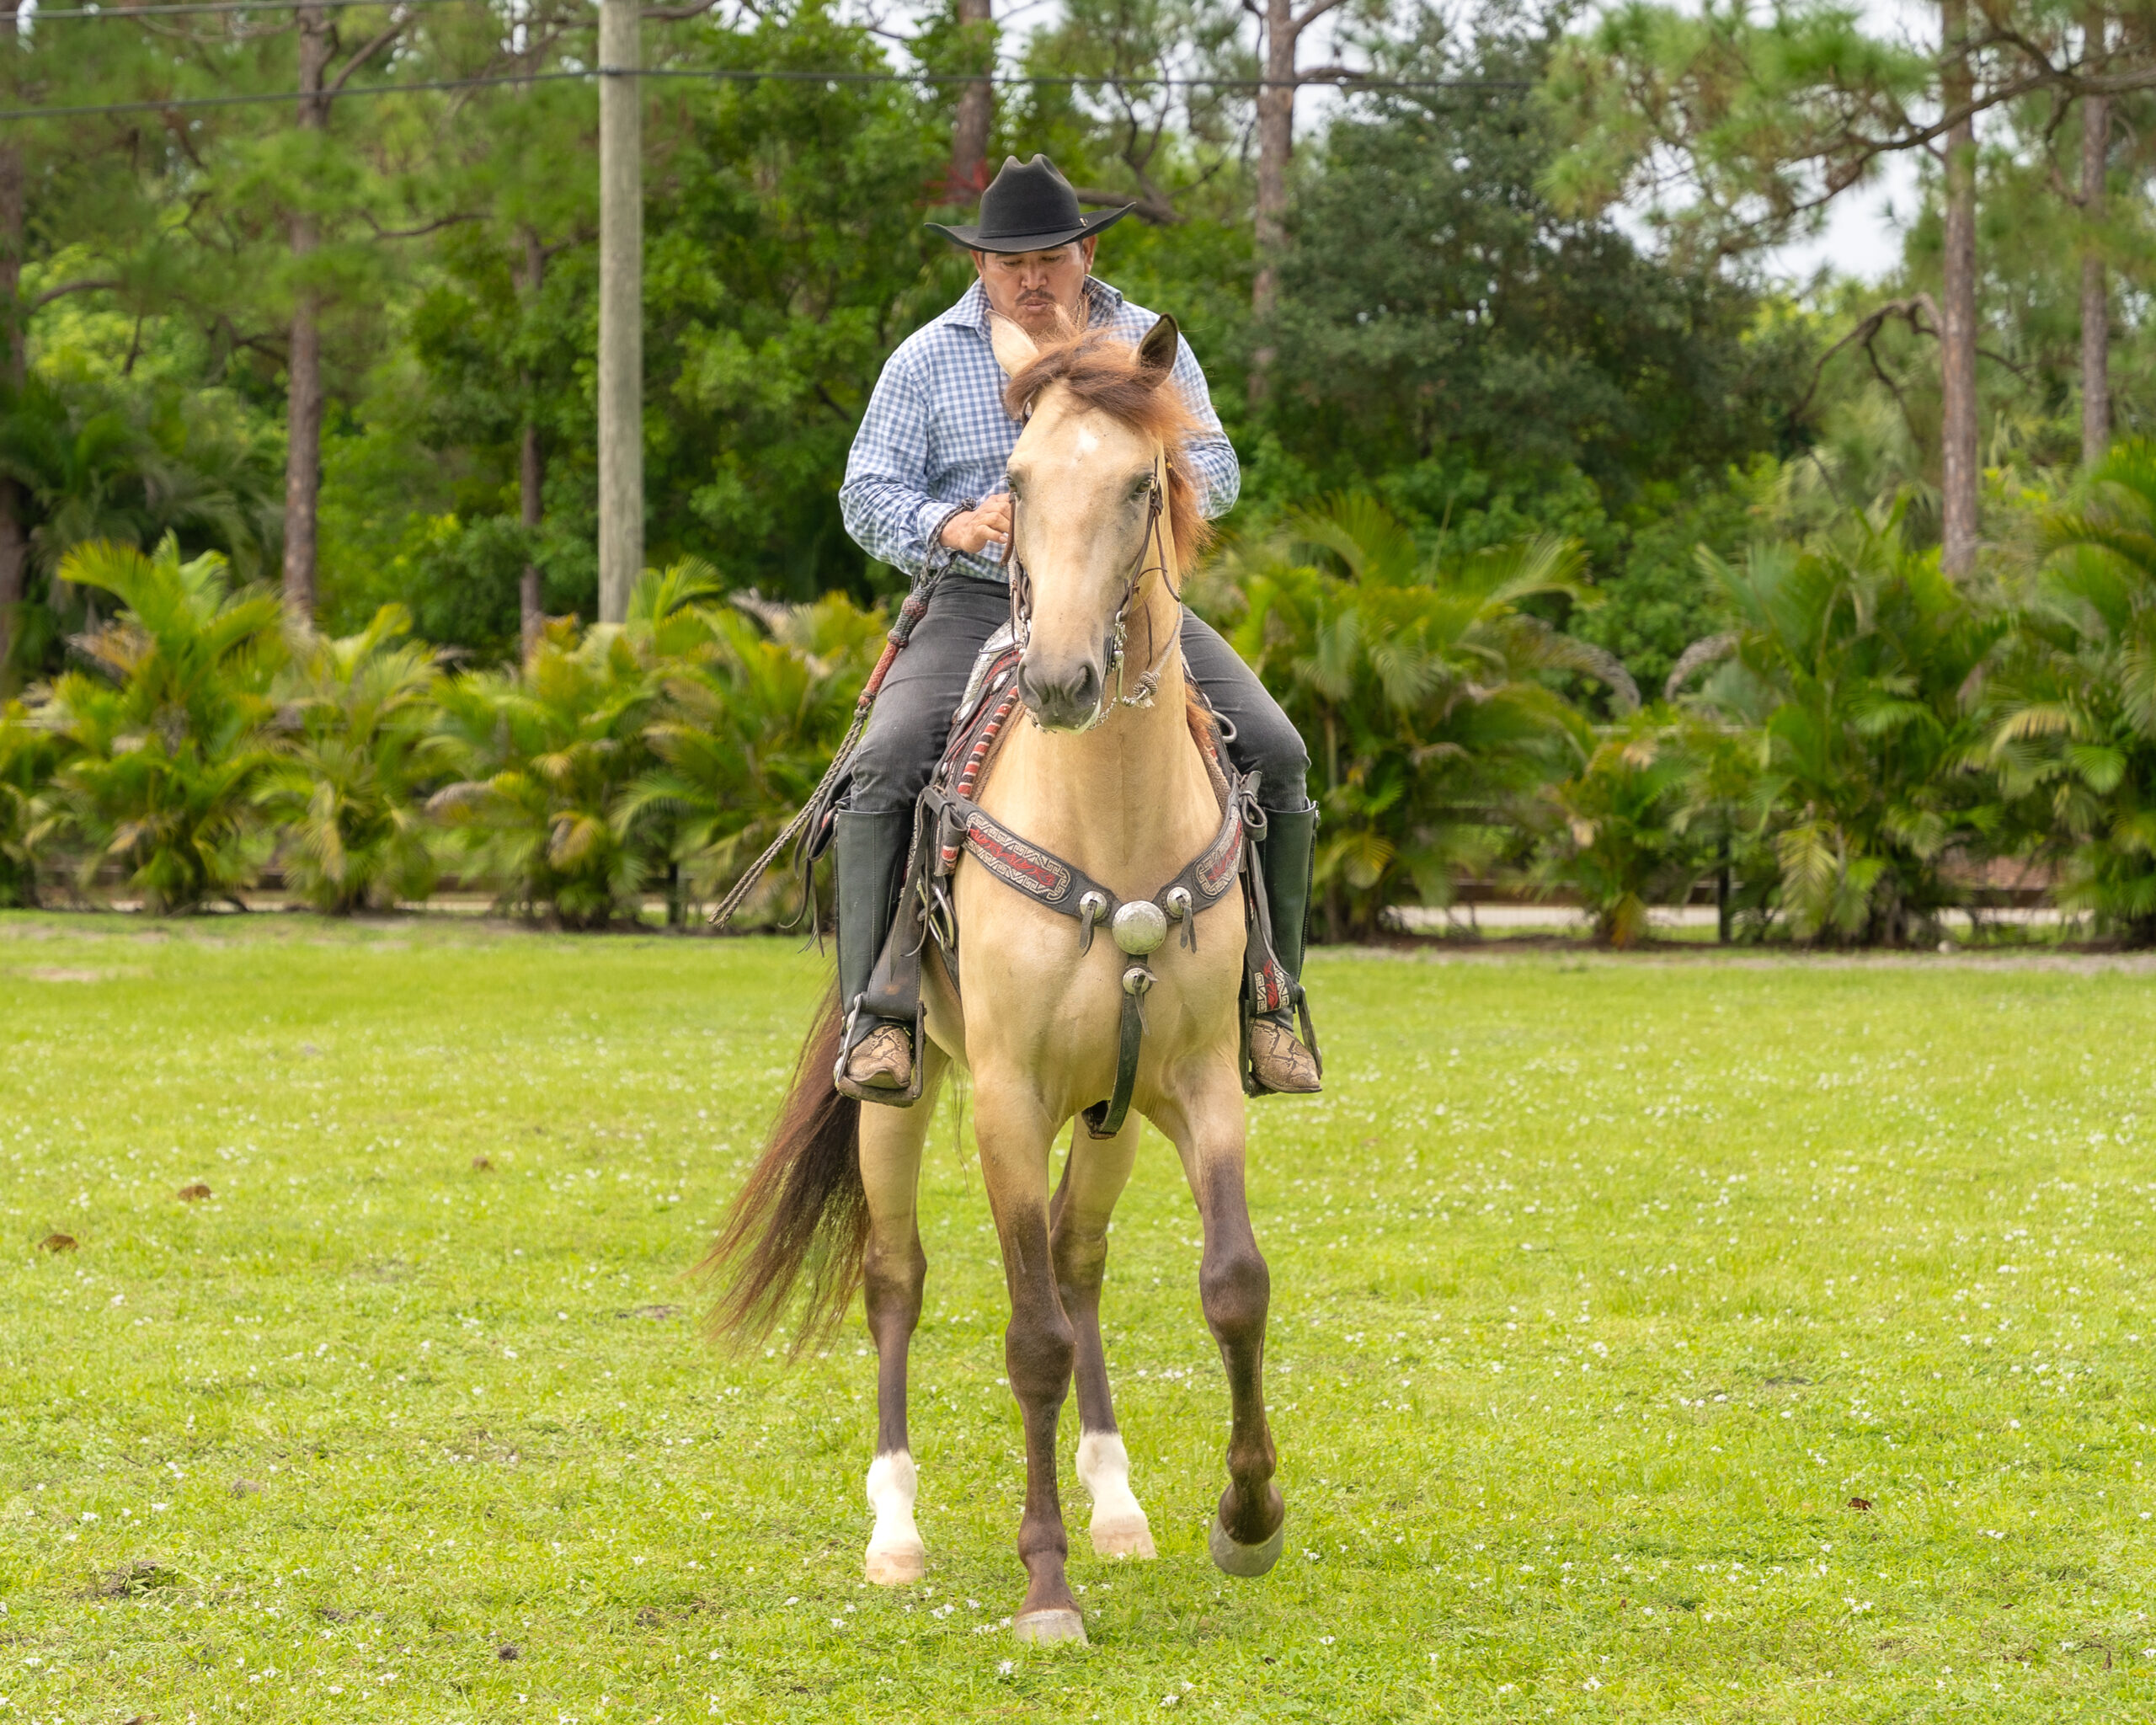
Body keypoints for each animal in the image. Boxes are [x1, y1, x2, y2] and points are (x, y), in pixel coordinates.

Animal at [702, 310, 1285, 1646]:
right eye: (1012, 485)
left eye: (1142, 485)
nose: (1064, 679)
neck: (1108, 816)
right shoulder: (1010, 1101)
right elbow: (1029, 1341)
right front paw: (1045, 1585)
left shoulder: (1192, 1083)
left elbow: (1230, 1285)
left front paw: (1247, 1520)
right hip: (904, 1097)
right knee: (896, 1280)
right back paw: (897, 1532)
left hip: (1111, 1112)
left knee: (1080, 1262)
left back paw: (1120, 1508)